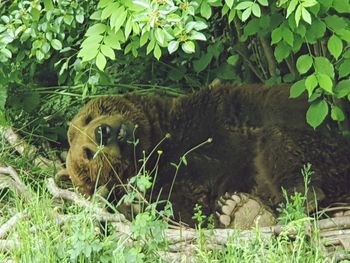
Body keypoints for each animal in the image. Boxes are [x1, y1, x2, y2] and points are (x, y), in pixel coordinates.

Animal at [58, 85, 350, 229]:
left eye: (88, 118)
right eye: (88, 154)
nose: (102, 133)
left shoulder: (211, 112)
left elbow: (278, 103)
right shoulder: (168, 184)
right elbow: (188, 208)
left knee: (275, 141)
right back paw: (241, 209)